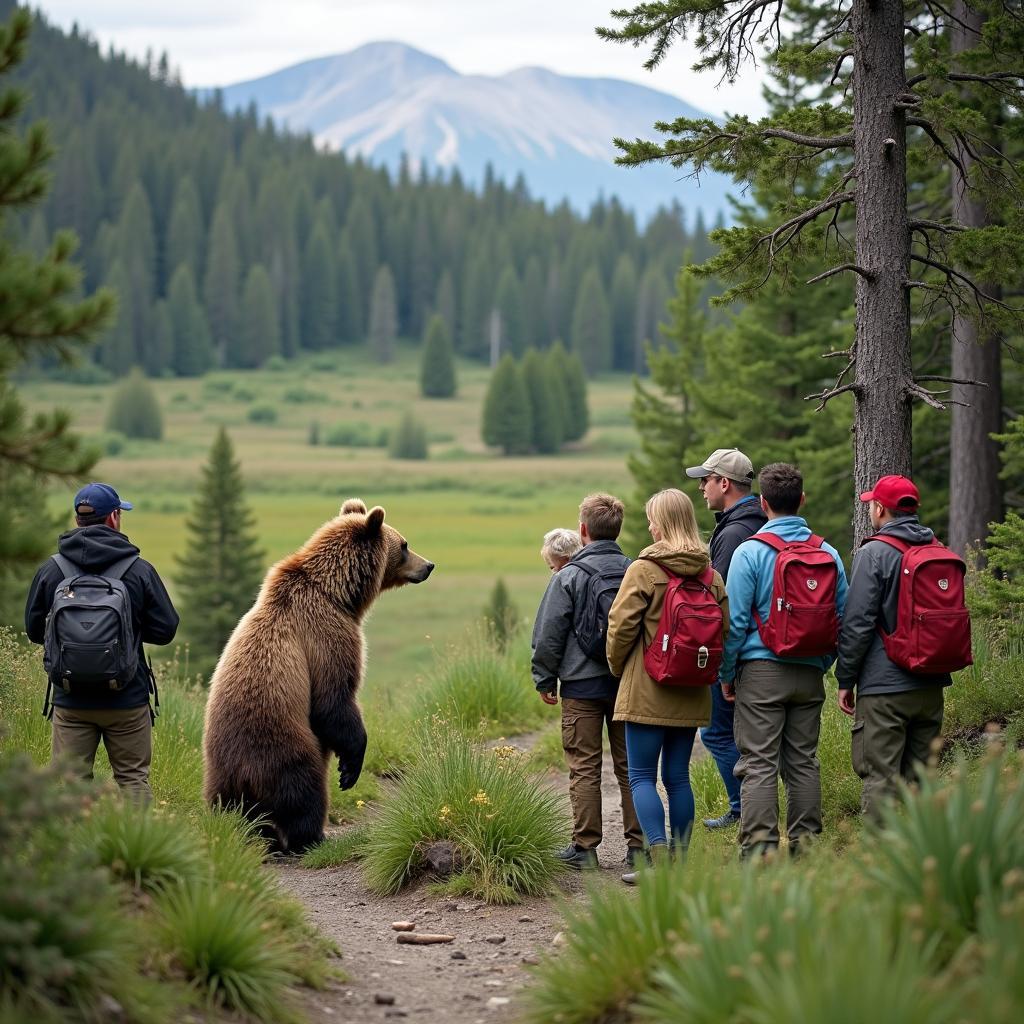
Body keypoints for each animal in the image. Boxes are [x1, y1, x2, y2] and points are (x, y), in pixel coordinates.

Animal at [201, 499, 434, 851]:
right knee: (304, 789)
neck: (337, 594)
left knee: (226, 804)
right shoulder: (328, 634)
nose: (429, 565)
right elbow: (334, 700)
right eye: (404, 545)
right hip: (283, 744)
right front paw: (350, 768)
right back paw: (310, 836)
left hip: (216, 766)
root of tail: (242, 771)